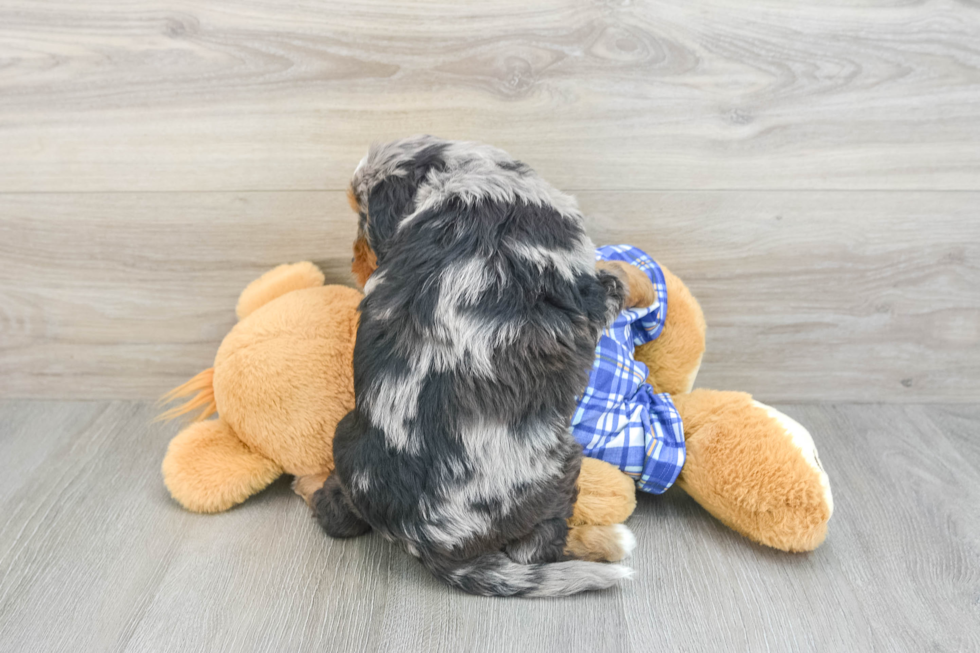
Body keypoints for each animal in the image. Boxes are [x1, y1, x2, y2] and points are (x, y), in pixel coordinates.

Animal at [304, 136, 660, 596]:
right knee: (535, 549)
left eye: (361, 218)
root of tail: (418, 538)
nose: (354, 264)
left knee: (337, 515)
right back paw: (608, 540)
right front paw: (645, 282)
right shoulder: (590, 293)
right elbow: (616, 273)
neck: (465, 180)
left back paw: (308, 482)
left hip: (345, 439)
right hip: (557, 467)